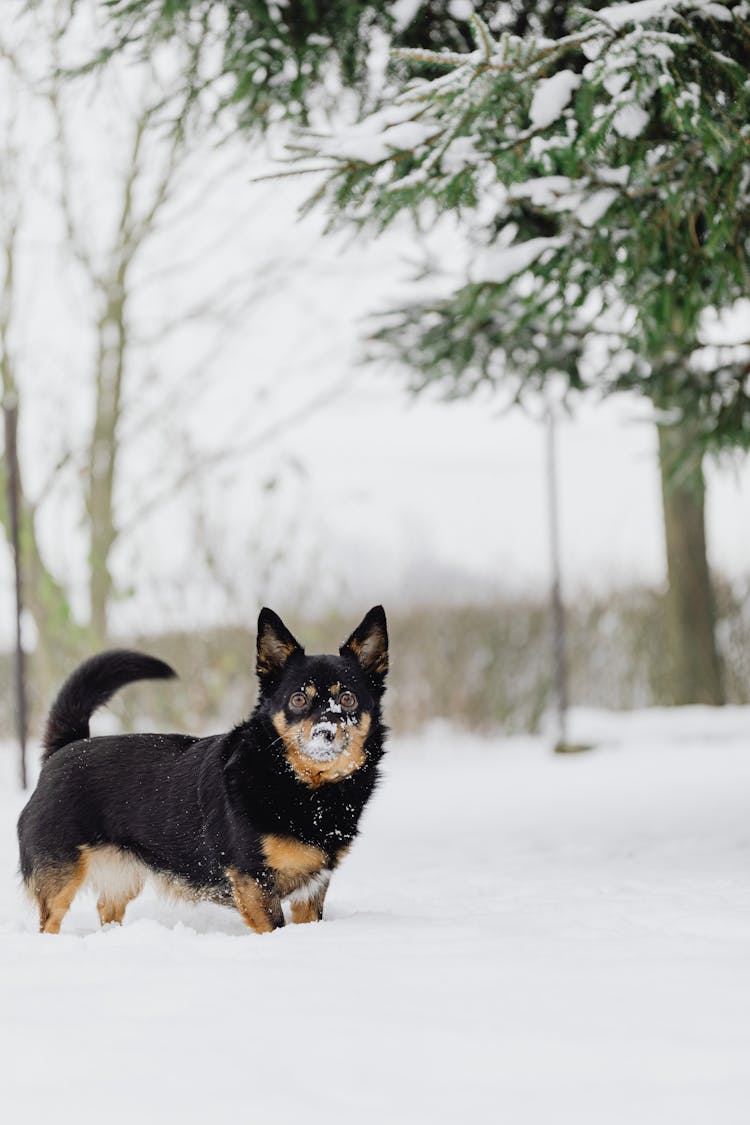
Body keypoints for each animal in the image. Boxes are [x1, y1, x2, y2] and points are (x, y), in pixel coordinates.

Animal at [19, 612, 386, 936]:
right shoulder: (254, 882)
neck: (303, 787)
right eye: (298, 699)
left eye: (347, 699)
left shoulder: (312, 890)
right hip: (61, 878)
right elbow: (274, 928)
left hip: (123, 878)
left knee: (106, 910)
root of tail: (65, 747)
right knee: (49, 921)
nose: (325, 732)